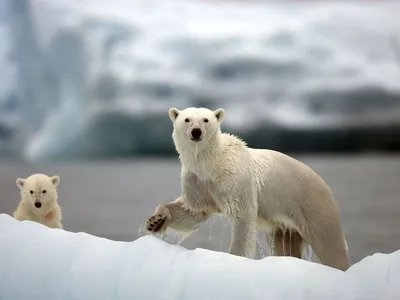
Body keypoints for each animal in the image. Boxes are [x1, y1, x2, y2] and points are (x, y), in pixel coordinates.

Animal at [148, 106, 350, 270]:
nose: (196, 132)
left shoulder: (235, 179)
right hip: (286, 224)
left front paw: (235, 258)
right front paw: (156, 221)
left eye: (206, 119)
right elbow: (194, 211)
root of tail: (324, 184)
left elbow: (242, 217)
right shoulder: (197, 181)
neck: (210, 162)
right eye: (187, 119)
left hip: (312, 205)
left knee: (329, 243)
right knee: (285, 244)